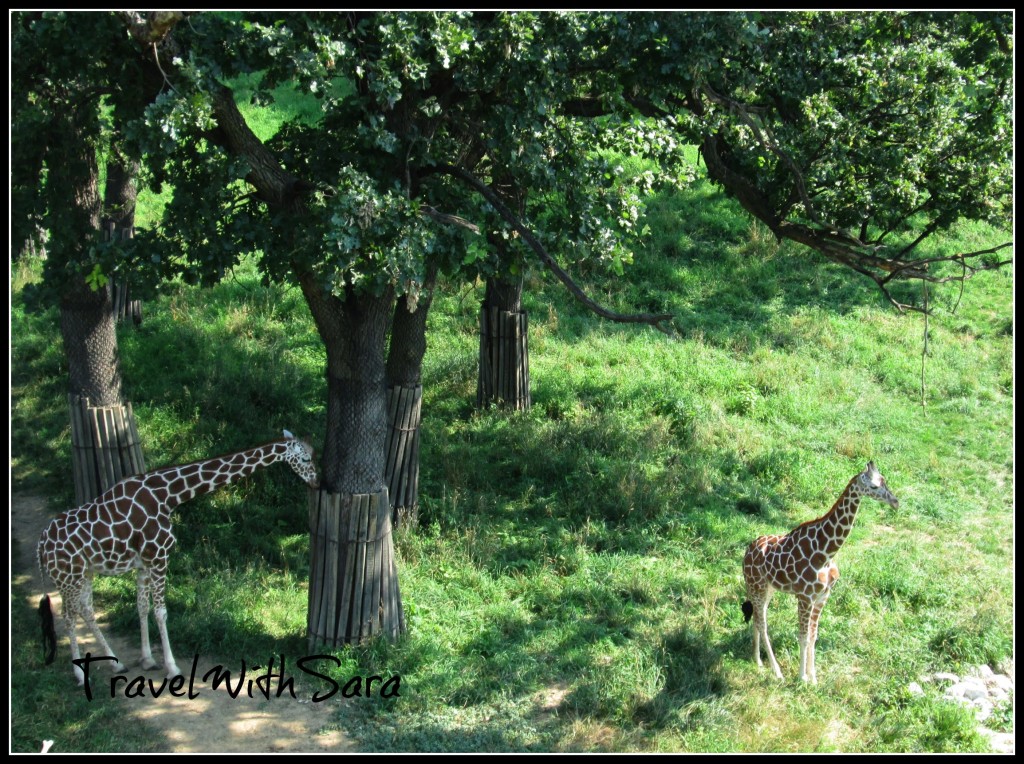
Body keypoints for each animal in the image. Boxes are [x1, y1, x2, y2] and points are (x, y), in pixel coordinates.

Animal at [38, 428, 319, 684]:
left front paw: (148, 660)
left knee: (85, 610)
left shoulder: (144, 562)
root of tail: (40, 546)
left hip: (85, 573)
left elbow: (142, 607)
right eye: (306, 459)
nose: (318, 482)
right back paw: (78, 673)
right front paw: (172, 668)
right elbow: (161, 612)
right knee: (68, 616)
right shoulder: (158, 556)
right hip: (68, 577)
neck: (168, 496)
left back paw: (116, 663)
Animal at [745, 460, 897, 680]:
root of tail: (746, 551)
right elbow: (803, 637)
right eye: (875, 486)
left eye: (885, 480)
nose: (895, 502)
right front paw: (802, 678)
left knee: (758, 618)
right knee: (762, 623)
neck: (825, 554)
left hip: (767, 588)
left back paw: (757, 661)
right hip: (756, 586)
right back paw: (777, 671)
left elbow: (813, 636)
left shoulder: (823, 597)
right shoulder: (805, 597)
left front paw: (814, 678)